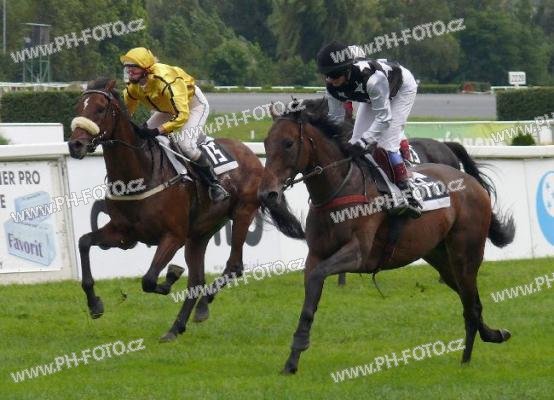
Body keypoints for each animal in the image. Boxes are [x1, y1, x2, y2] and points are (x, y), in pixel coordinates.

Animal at [67, 78, 264, 341]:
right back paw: (177, 327)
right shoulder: (123, 234)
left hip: (242, 213)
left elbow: (149, 280)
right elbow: (84, 242)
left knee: (233, 266)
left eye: (99, 109)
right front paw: (95, 304)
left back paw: (202, 306)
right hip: (199, 234)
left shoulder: (173, 236)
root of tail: (249, 152)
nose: (75, 145)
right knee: (197, 280)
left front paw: (171, 275)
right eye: (79, 107)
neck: (140, 172)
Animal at [258, 107, 515, 374]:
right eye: (266, 143)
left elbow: (319, 276)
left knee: (471, 302)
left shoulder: (358, 253)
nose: (267, 194)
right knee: (469, 299)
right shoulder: (316, 255)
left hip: (466, 253)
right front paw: (292, 360)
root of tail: (470, 182)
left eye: (288, 144)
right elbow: (310, 299)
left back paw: (466, 358)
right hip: (439, 256)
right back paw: (493, 336)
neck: (339, 188)